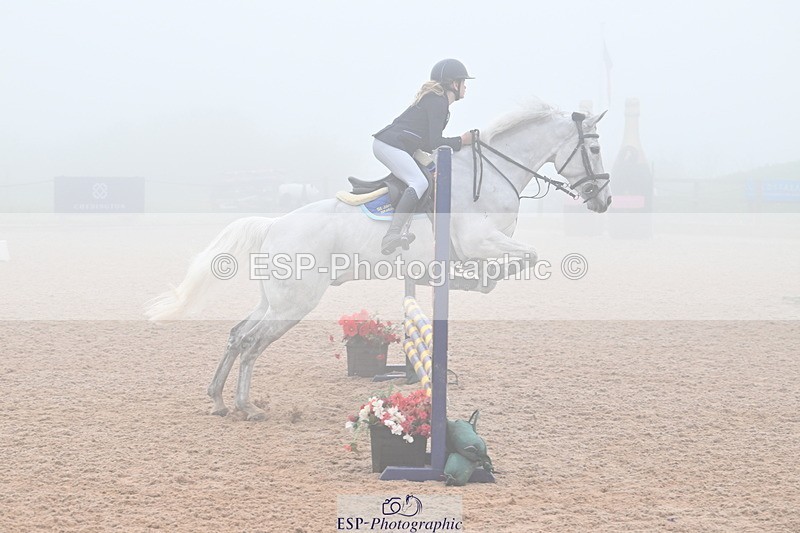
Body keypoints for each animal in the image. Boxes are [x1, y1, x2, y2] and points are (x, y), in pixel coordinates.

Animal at [146, 99, 611, 420]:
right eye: (594, 147)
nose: (603, 200)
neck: (493, 173)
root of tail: (274, 224)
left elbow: (516, 260)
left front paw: (472, 280)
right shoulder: (478, 239)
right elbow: (524, 258)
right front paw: (474, 281)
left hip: (274, 298)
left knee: (237, 333)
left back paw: (218, 399)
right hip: (295, 301)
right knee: (250, 342)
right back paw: (247, 406)